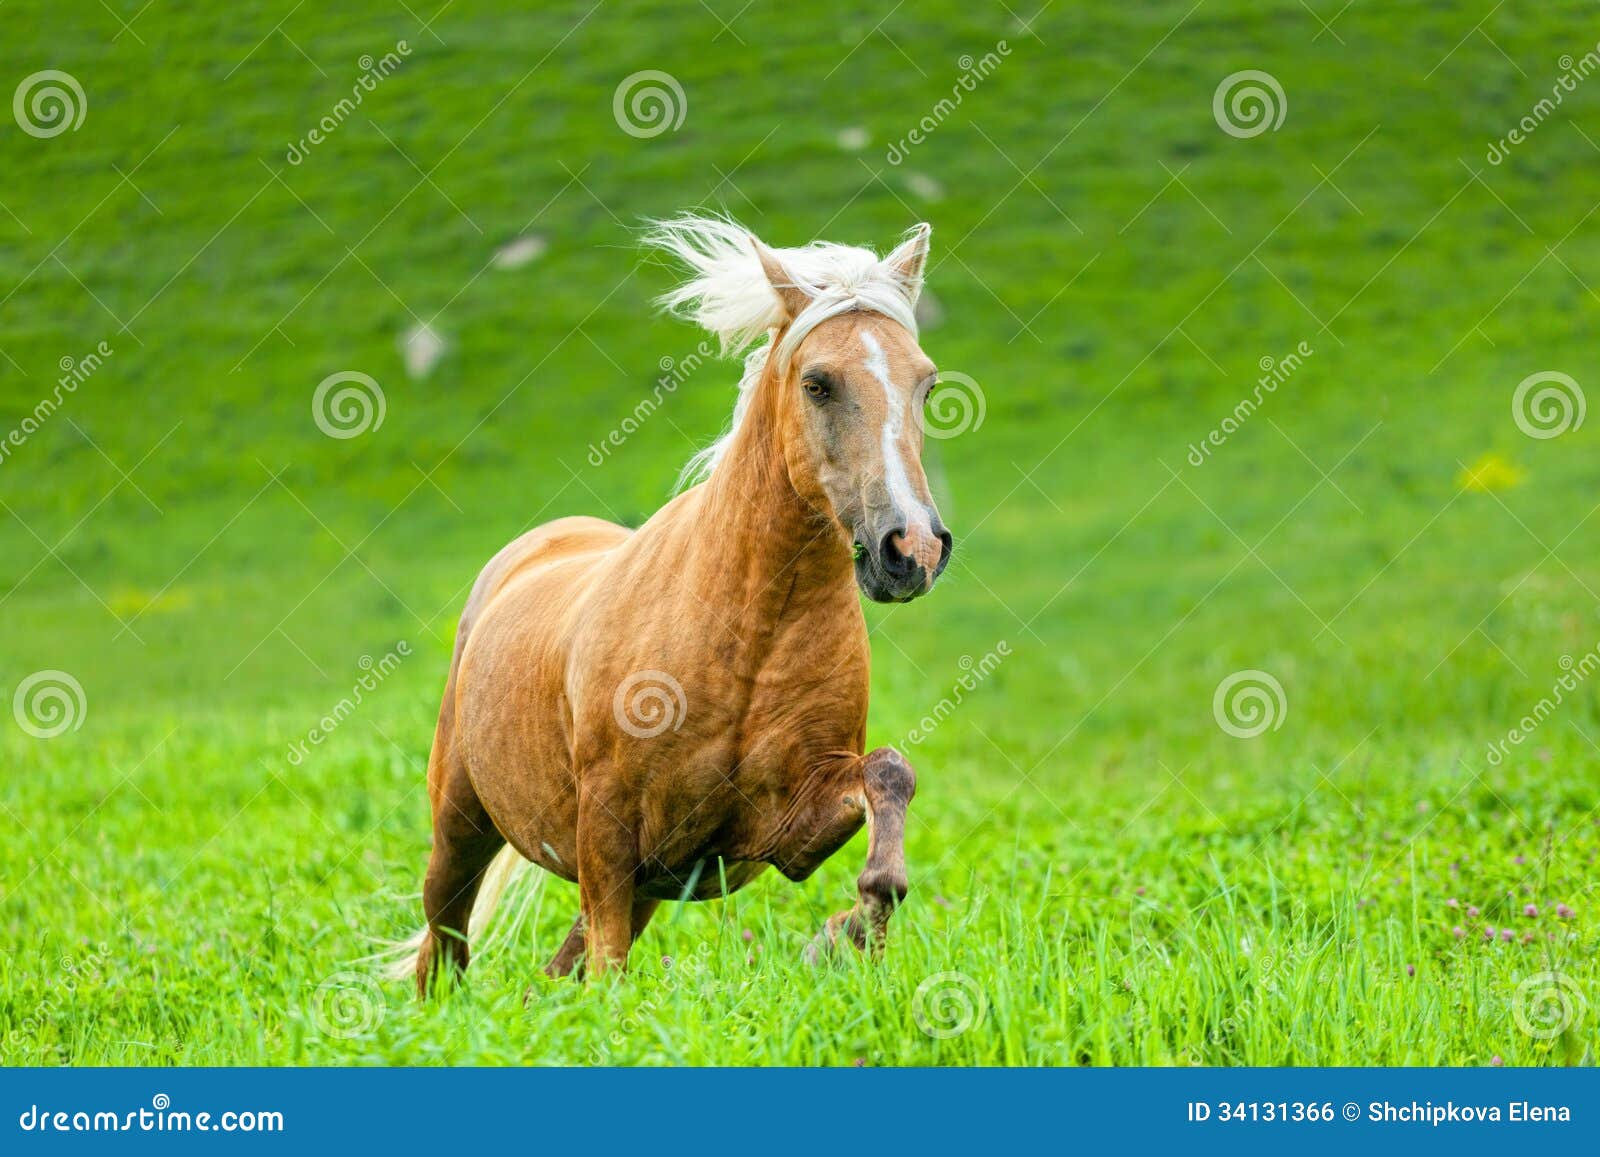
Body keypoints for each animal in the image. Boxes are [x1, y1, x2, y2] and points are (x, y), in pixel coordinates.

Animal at [398, 215, 954, 992]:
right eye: (816, 383)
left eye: (926, 385)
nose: (911, 550)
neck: (747, 632)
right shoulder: (606, 834)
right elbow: (607, 966)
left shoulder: (776, 833)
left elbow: (889, 778)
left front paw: (843, 934)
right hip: (461, 824)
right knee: (443, 948)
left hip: (643, 888)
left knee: (553, 969)